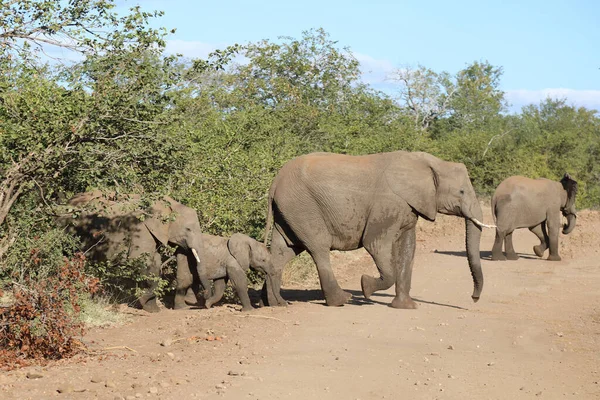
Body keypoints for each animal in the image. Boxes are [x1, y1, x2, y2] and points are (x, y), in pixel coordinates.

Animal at [61, 191, 206, 312]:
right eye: (188, 229)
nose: (193, 302)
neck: (170, 204)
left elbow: (162, 261)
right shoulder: (140, 229)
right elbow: (144, 262)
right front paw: (150, 307)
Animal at [262, 150, 492, 310]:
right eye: (461, 191)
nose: (474, 298)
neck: (429, 163)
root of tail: (275, 182)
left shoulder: (409, 207)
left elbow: (408, 248)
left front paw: (406, 307)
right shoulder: (387, 204)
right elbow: (375, 244)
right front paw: (365, 287)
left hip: (290, 212)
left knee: (283, 251)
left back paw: (276, 303)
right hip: (304, 208)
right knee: (318, 249)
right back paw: (342, 300)